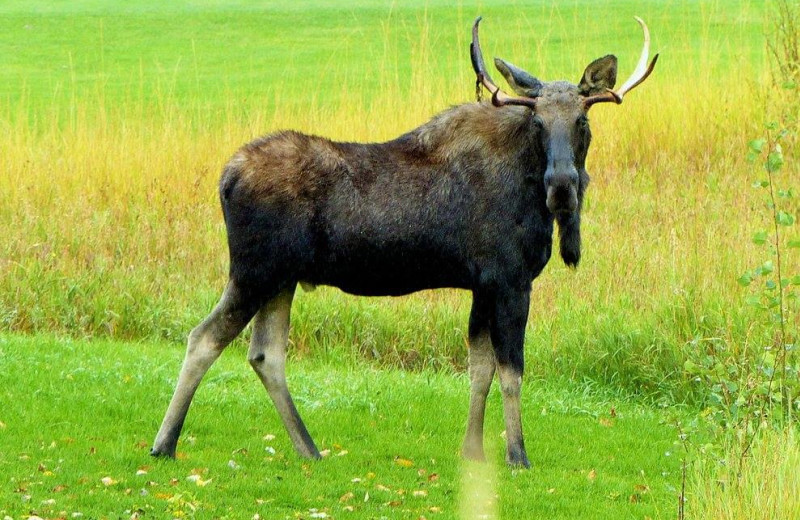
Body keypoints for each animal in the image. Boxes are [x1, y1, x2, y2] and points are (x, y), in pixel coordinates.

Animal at [152, 16, 656, 468]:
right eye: (538, 122)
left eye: (582, 119)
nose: (562, 185)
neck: (530, 186)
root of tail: (226, 177)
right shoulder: (510, 280)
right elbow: (511, 372)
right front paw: (517, 455)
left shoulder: (481, 285)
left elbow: (479, 369)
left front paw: (473, 452)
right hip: (254, 272)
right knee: (203, 338)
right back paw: (165, 443)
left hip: (281, 279)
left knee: (265, 355)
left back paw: (309, 449)